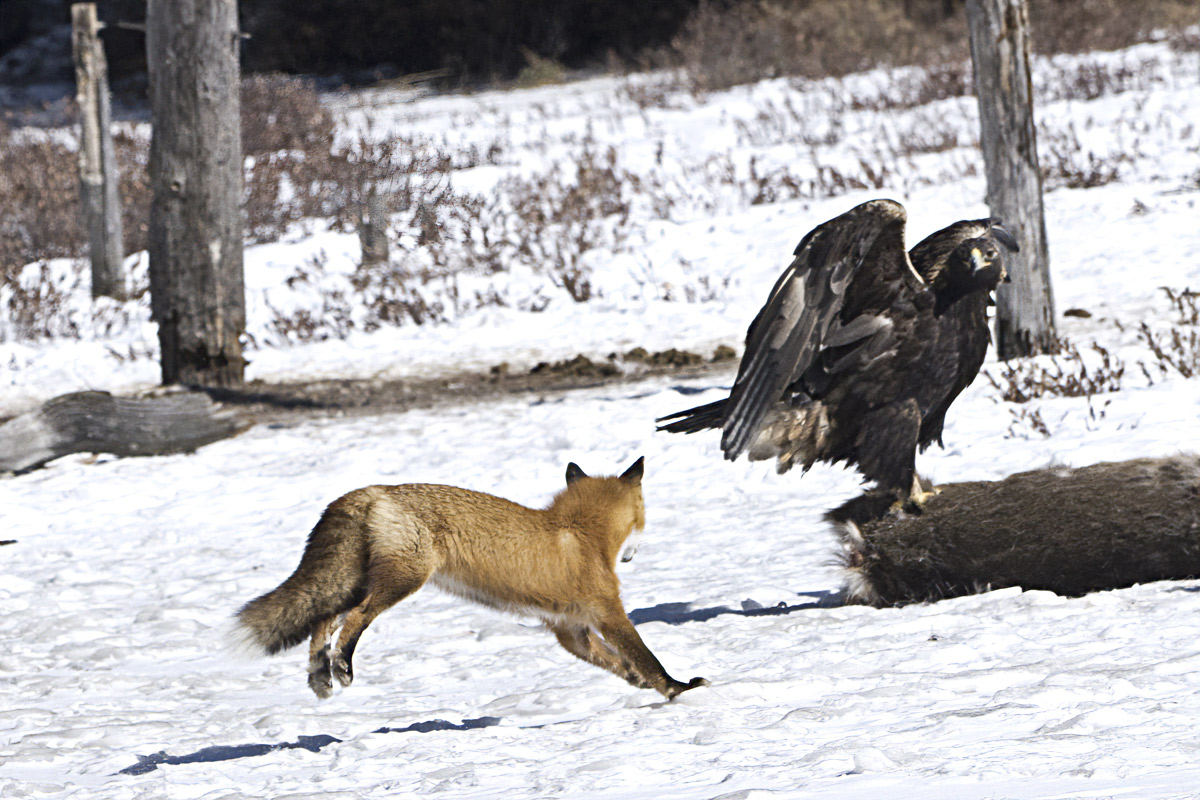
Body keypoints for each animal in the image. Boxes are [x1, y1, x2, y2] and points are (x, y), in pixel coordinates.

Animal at [235, 456, 707, 701]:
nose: (634, 554)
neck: (579, 531)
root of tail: (369, 491)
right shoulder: (608, 614)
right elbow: (645, 655)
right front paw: (677, 688)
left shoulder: (570, 630)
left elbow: (618, 662)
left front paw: (643, 685)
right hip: (401, 580)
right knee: (353, 620)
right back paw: (342, 666)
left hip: (355, 581)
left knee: (321, 621)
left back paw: (320, 676)